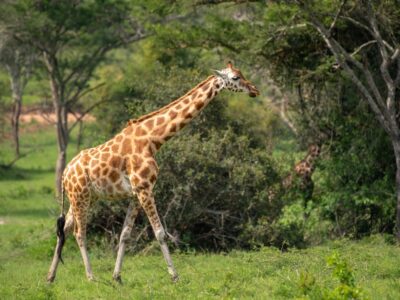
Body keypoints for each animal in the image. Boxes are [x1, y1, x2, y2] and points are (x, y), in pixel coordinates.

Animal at [47, 61, 260, 284]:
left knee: (65, 228)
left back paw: (50, 277)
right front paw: (175, 276)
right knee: (79, 233)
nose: (255, 90)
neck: (153, 139)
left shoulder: (135, 194)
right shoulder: (145, 188)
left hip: (83, 197)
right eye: (235, 78)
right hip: (80, 196)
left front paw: (117, 277)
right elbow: (160, 233)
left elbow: (125, 235)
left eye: (241, 73)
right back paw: (91, 277)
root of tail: (64, 174)